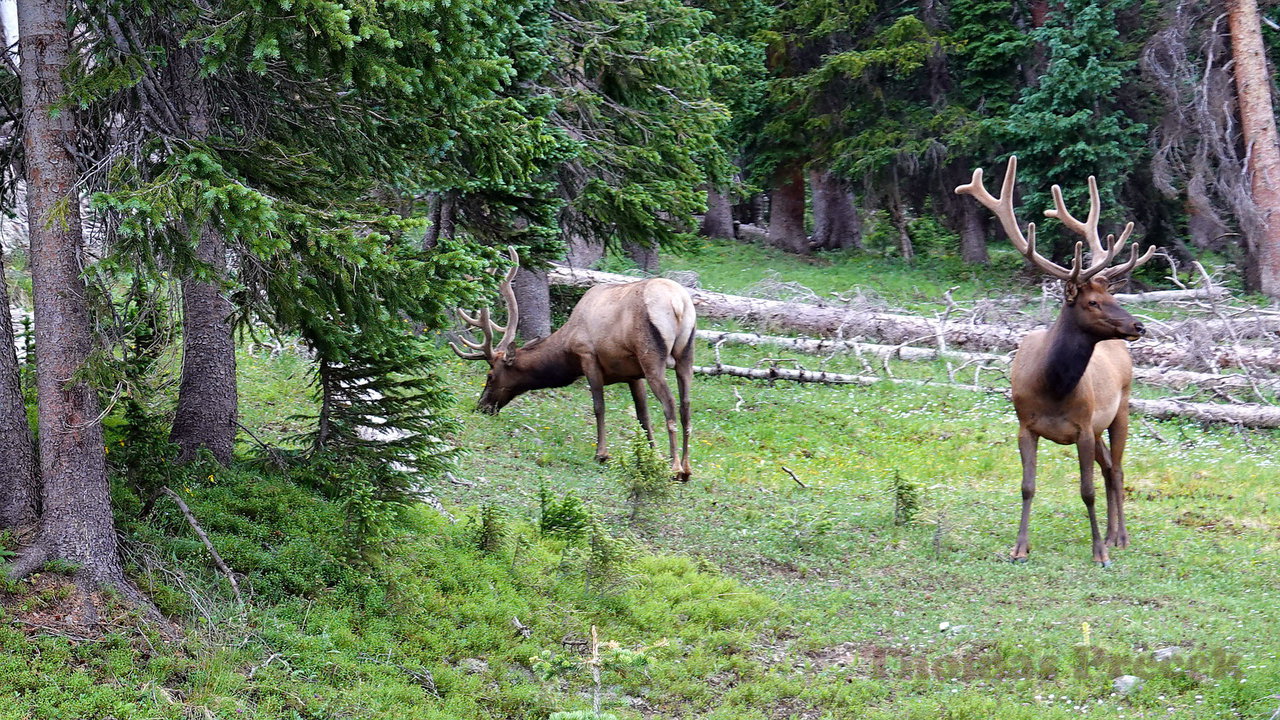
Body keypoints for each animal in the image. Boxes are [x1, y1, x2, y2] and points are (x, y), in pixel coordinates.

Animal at [448, 249, 696, 479]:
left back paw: (675, 467)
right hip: (686, 355)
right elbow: (643, 416)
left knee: (669, 403)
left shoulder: (587, 356)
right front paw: (650, 458)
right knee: (685, 405)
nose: (481, 406)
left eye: (490, 376)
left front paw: (601, 454)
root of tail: (679, 303)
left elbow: (599, 407)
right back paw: (686, 469)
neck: (566, 349)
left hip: (651, 356)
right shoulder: (633, 374)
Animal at [957, 156, 1157, 566]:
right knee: (1109, 467)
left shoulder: (1082, 428)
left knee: (1117, 470)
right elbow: (1027, 486)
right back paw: (1112, 534)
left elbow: (1086, 491)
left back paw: (1119, 538)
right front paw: (1019, 547)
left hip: (1122, 409)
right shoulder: (1026, 425)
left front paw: (1099, 553)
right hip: (1100, 426)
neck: (1052, 386)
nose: (1138, 325)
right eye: (1093, 302)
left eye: (1111, 296)